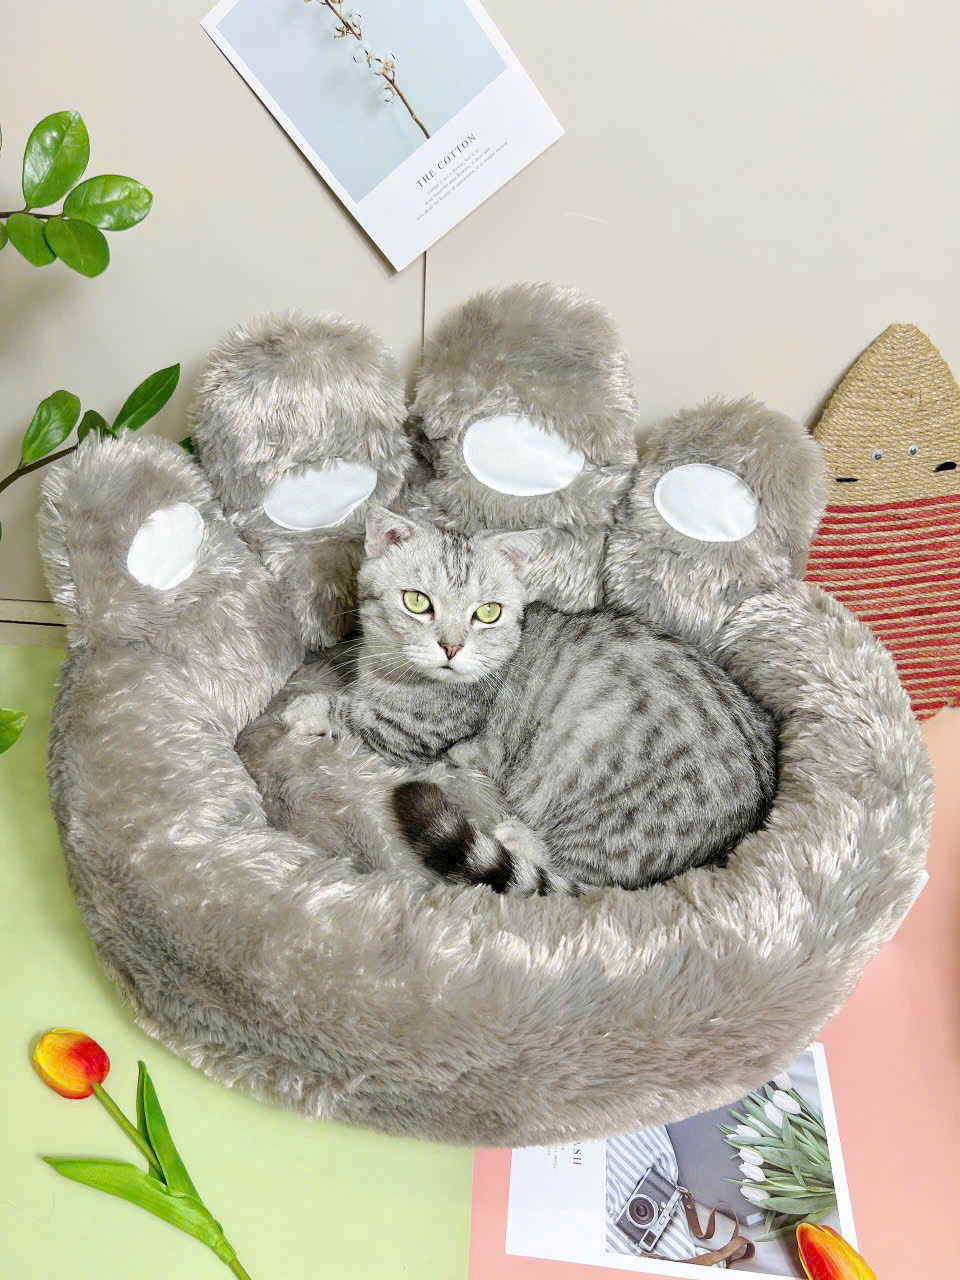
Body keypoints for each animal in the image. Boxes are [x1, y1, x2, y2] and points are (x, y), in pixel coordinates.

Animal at [283, 508, 778, 895]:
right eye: (417, 602)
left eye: (487, 612)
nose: (451, 647)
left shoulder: (414, 733)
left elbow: (358, 715)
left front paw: (309, 707)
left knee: (582, 876)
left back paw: (518, 837)